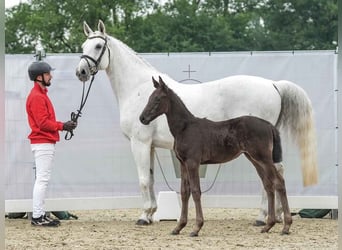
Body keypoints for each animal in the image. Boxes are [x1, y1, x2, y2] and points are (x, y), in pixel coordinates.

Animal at [75, 20, 318, 226]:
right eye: (84, 45)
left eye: (98, 45)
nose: (81, 72)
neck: (138, 88)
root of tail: (273, 84)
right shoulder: (150, 146)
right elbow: (150, 179)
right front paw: (151, 213)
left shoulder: (140, 143)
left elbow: (143, 179)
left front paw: (143, 217)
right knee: (276, 173)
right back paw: (276, 215)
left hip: (256, 150)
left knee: (270, 176)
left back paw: (262, 217)